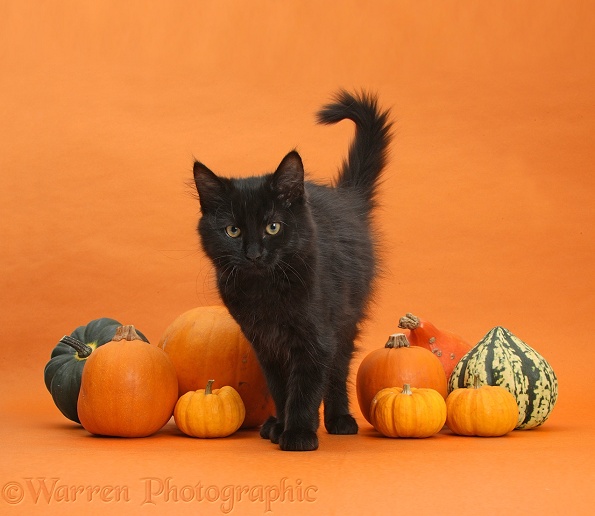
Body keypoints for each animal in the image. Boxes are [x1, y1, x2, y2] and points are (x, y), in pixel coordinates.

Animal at [193, 90, 394, 450]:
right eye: (233, 231)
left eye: (272, 227)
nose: (254, 254)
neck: (265, 291)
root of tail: (346, 200)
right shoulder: (264, 344)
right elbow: (280, 387)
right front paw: (283, 425)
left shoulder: (315, 338)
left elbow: (305, 386)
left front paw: (298, 433)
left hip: (346, 318)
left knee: (338, 369)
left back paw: (339, 419)